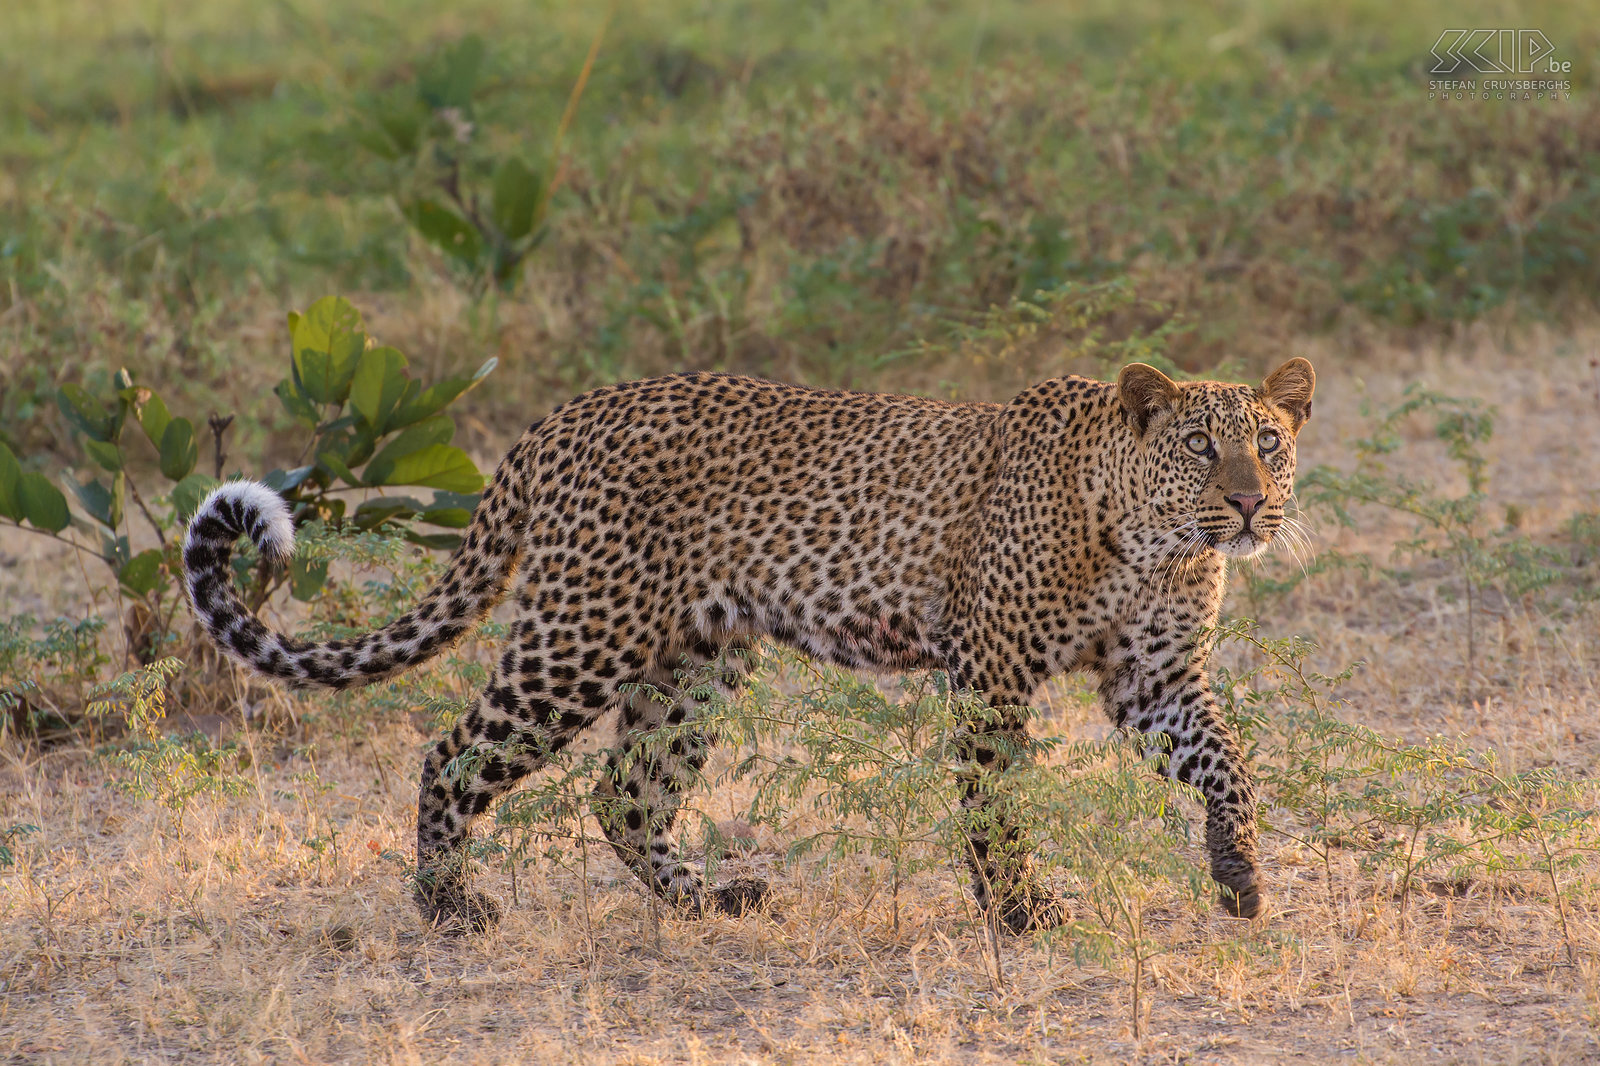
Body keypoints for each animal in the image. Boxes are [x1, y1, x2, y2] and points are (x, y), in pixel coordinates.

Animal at [181, 355, 1318, 928]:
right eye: (1197, 446)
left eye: (1268, 442)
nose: (1248, 504)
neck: (1156, 545)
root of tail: (557, 421)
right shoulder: (991, 674)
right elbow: (995, 804)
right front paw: (1020, 913)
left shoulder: (1155, 679)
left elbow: (1230, 765)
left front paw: (1239, 875)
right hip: (580, 634)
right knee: (455, 752)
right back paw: (448, 905)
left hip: (695, 659)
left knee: (626, 793)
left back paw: (708, 900)